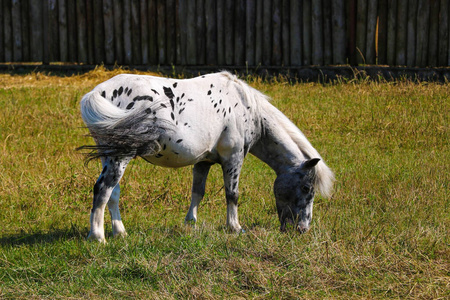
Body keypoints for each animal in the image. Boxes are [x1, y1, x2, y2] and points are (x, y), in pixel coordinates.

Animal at [79, 71, 334, 243]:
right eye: (306, 189)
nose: (302, 229)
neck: (246, 106)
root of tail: (97, 93)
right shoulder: (233, 158)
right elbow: (232, 195)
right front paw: (234, 227)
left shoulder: (203, 161)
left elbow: (197, 192)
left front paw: (190, 224)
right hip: (120, 157)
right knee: (103, 190)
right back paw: (97, 237)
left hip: (109, 156)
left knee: (113, 193)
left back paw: (120, 232)